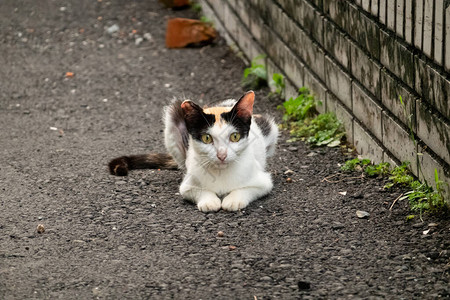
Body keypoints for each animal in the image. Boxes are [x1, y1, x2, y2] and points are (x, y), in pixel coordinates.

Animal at [109, 90, 278, 212]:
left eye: (234, 136)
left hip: (270, 127)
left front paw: (233, 200)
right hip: (173, 117)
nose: (222, 155)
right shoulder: (187, 186)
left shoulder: (263, 181)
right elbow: (196, 190)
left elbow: (249, 188)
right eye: (207, 138)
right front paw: (209, 201)